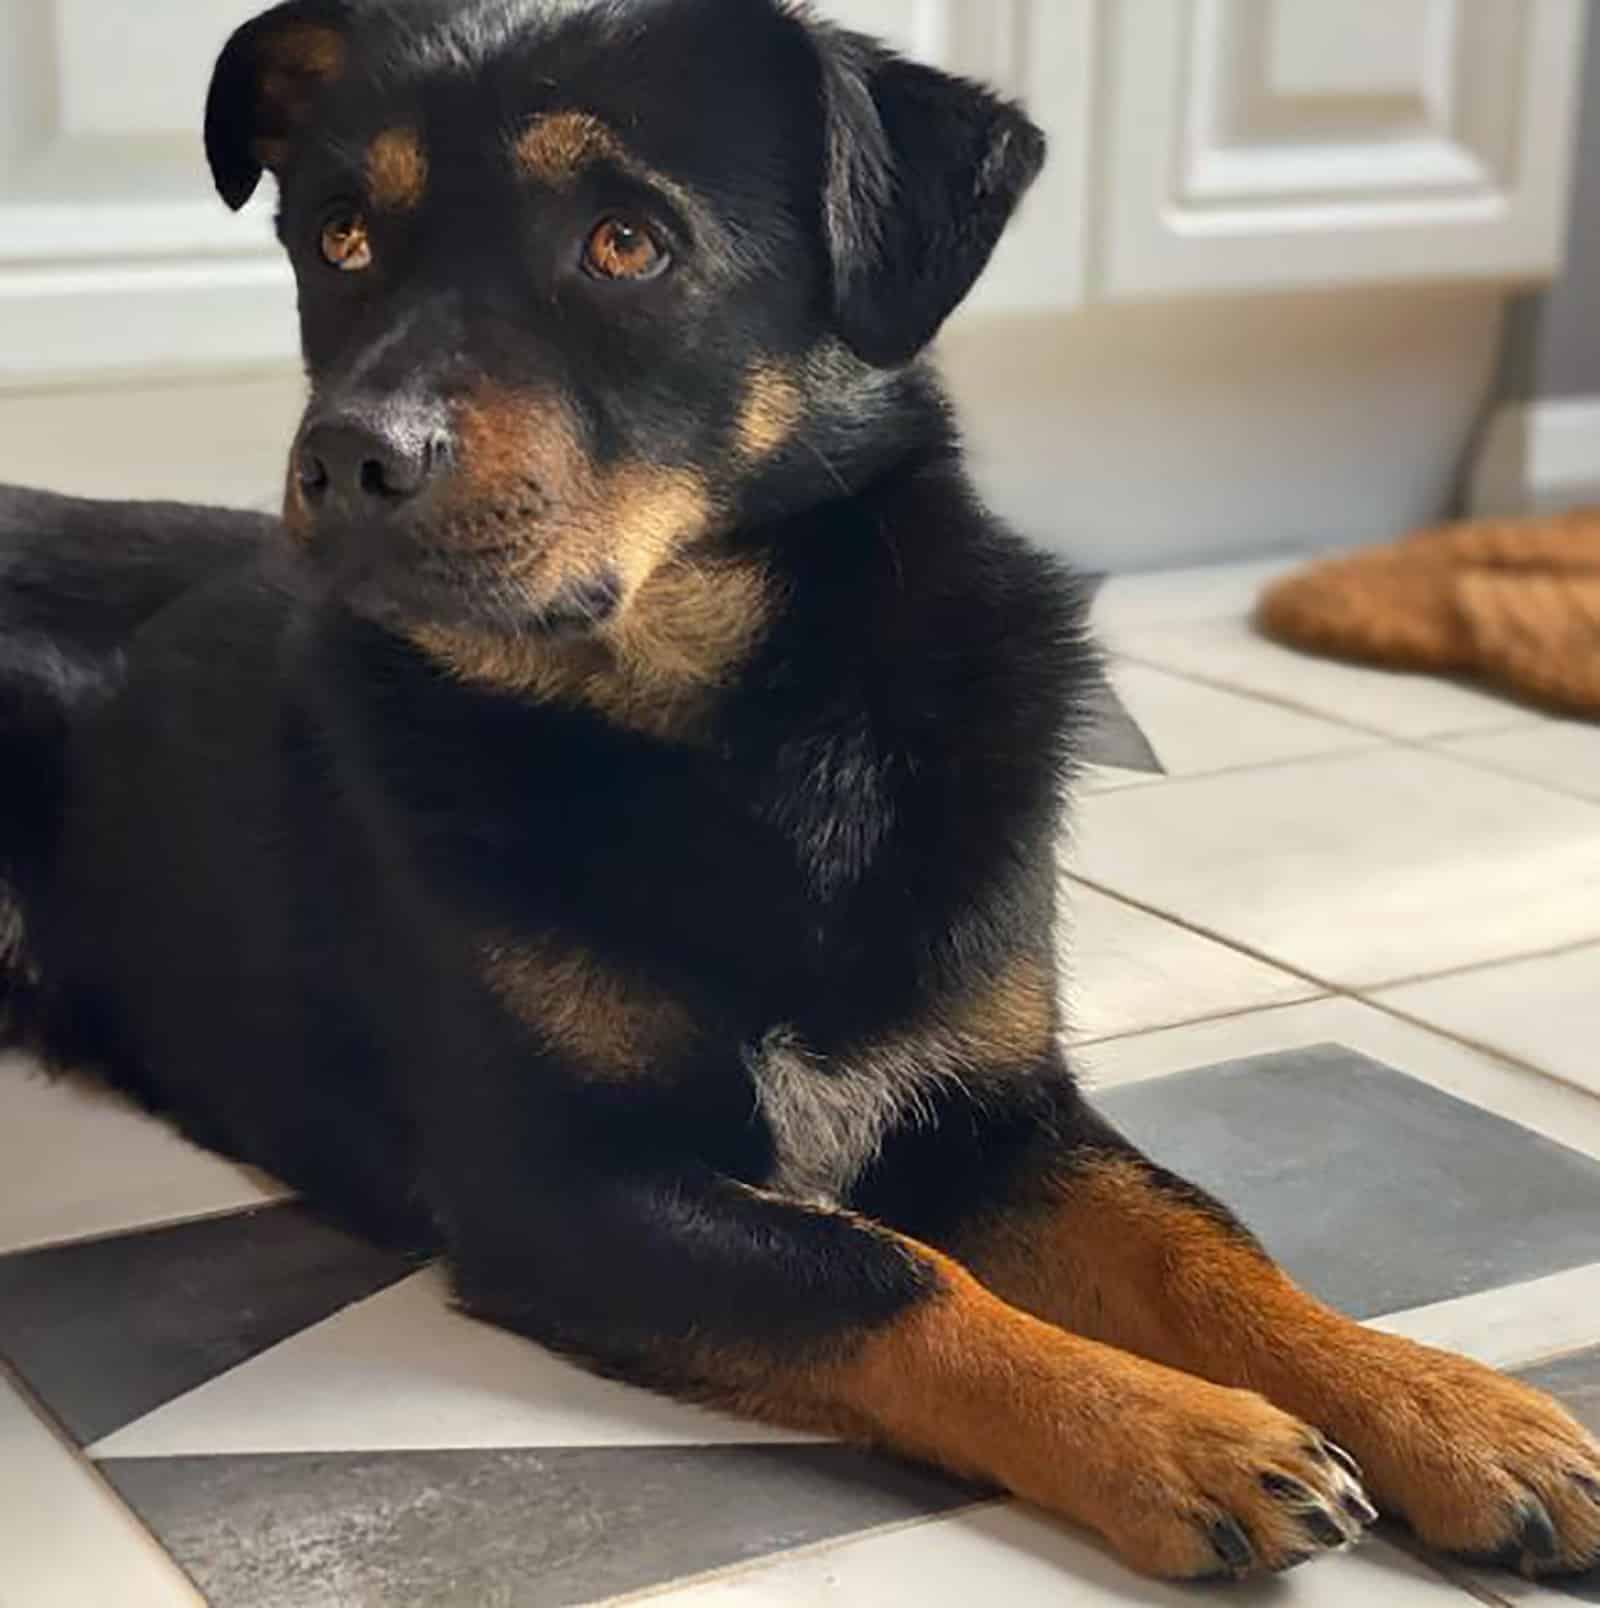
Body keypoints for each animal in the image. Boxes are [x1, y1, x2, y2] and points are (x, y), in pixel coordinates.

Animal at [3, 0, 1600, 1582]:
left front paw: (1449, 1408)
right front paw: (1175, 1432)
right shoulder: (562, 1184)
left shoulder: (994, 1108)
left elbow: (1199, 1241)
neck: (745, 730)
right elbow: (885, 1273)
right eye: (340, 238)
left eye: (625, 243)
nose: (344, 458)